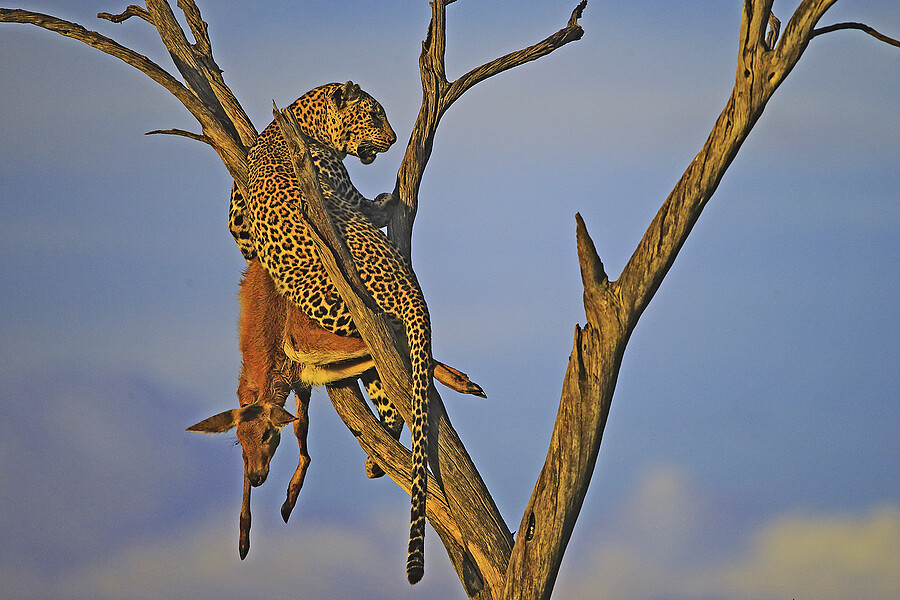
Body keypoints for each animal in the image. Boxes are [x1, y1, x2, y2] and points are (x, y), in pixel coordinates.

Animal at [239, 81, 431, 585]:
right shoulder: (341, 186)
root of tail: (412, 294)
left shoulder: (237, 220)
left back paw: (377, 459)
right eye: (374, 115)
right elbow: (364, 202)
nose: (394, 136)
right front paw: (385, 201)